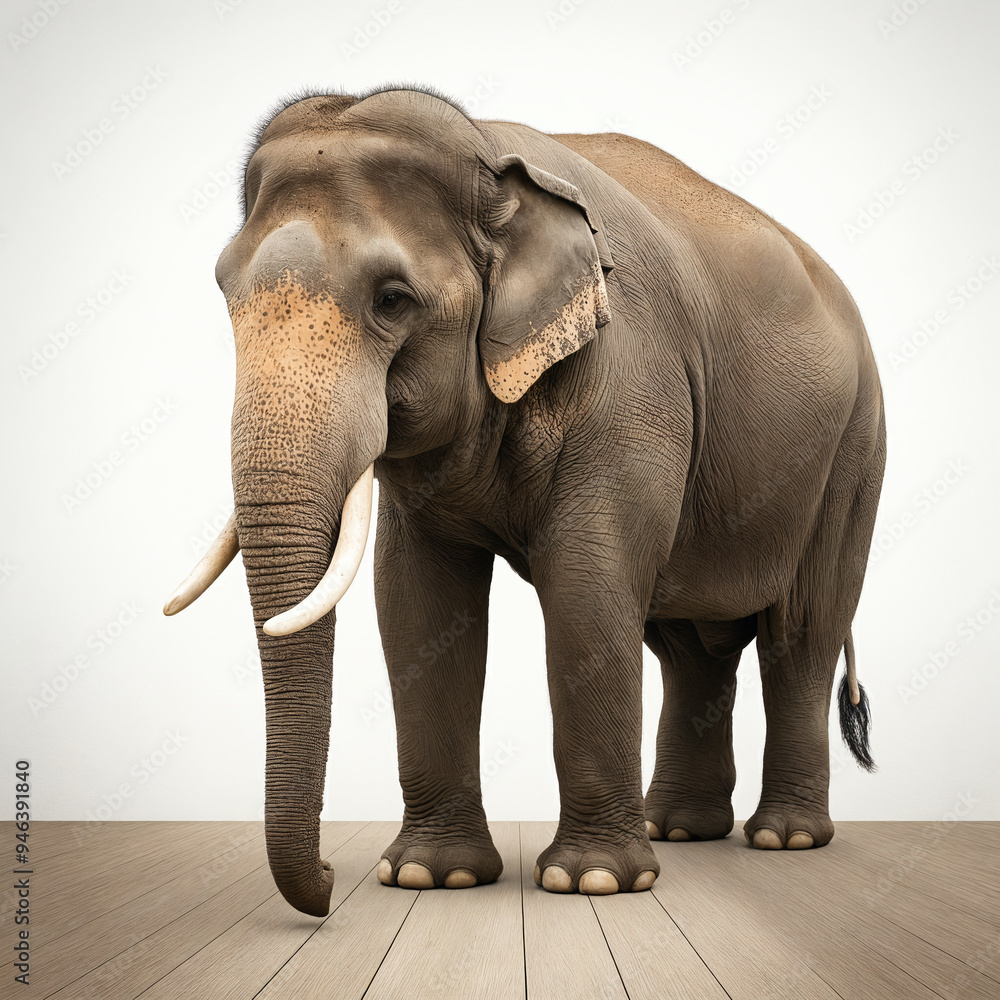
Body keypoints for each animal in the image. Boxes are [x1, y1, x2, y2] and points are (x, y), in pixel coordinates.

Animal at [164, 85, 885, 917]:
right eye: (225, 292)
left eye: (393, 299)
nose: (327, 885)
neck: (490, 156)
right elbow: (416, 602)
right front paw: (431, 876)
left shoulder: (628, 382)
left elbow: (586, 590)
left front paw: (592, 881)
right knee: (689, 648)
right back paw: (677, 830)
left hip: (853, 451)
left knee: (800, 634)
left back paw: (784, 838)